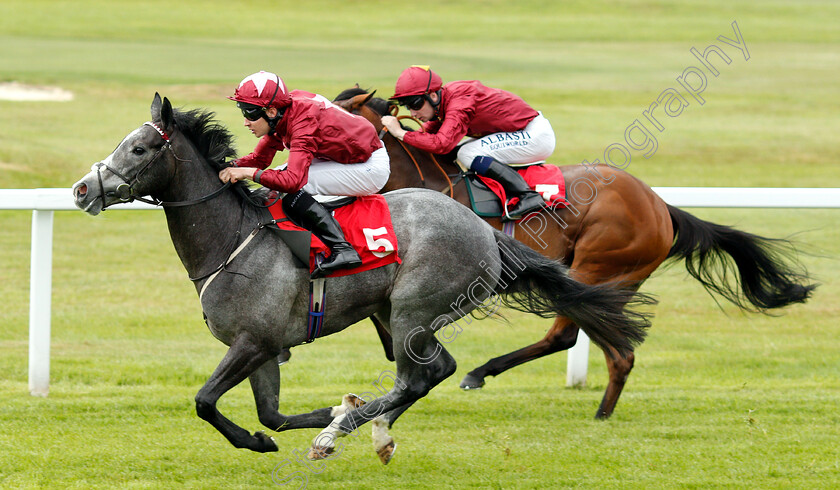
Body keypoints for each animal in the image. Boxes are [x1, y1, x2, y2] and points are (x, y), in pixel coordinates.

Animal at [70, 94, 648, 464]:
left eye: (139, 149)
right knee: (428, 373)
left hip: (415, 308)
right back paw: (368, 427)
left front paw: (315, 424)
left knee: (420, 375)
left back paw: (344, 431)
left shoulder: (252, 341)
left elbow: (205, 401)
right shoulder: (265, 346)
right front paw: (292, 427)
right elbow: (271, 415)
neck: (232, 238)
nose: (81, 190)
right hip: (401, 315)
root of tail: (484, 230)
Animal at [334, 86, 812, 420]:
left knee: (574, 336)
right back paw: (599, 407)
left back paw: (496, 378)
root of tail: (660, 206)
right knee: (604, 342)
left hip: (597, 267)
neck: (426, 182)